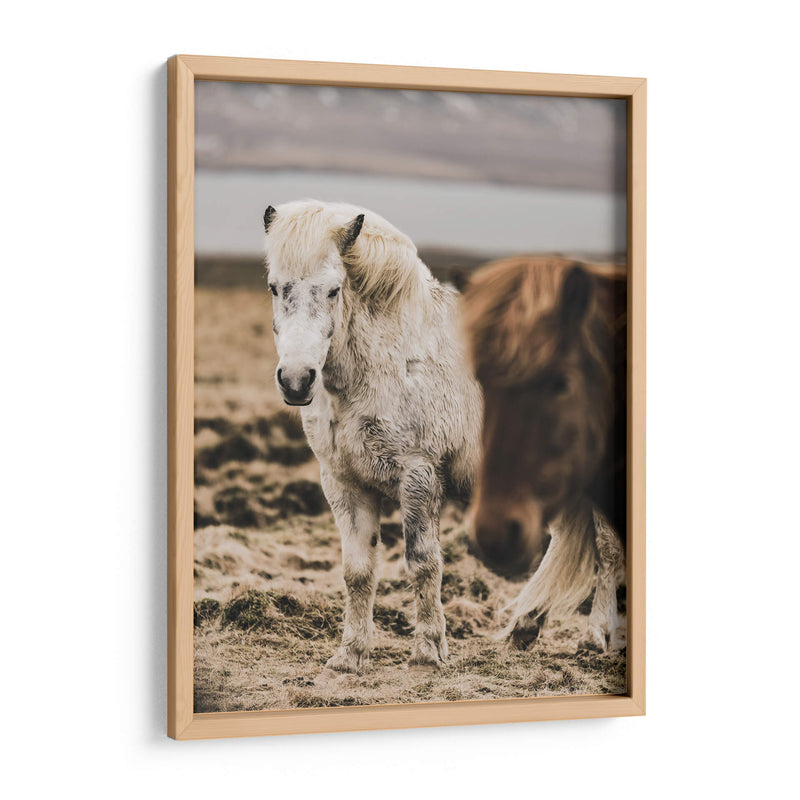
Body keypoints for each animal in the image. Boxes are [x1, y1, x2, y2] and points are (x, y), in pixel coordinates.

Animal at [262, 200, 482, 671]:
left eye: (333, 290)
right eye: (274, 288)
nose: (296, 380)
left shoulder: (419, 478)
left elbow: (422, 564)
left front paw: (428, 651)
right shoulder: (344, 483)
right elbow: (358, 570)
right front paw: (351, 654)